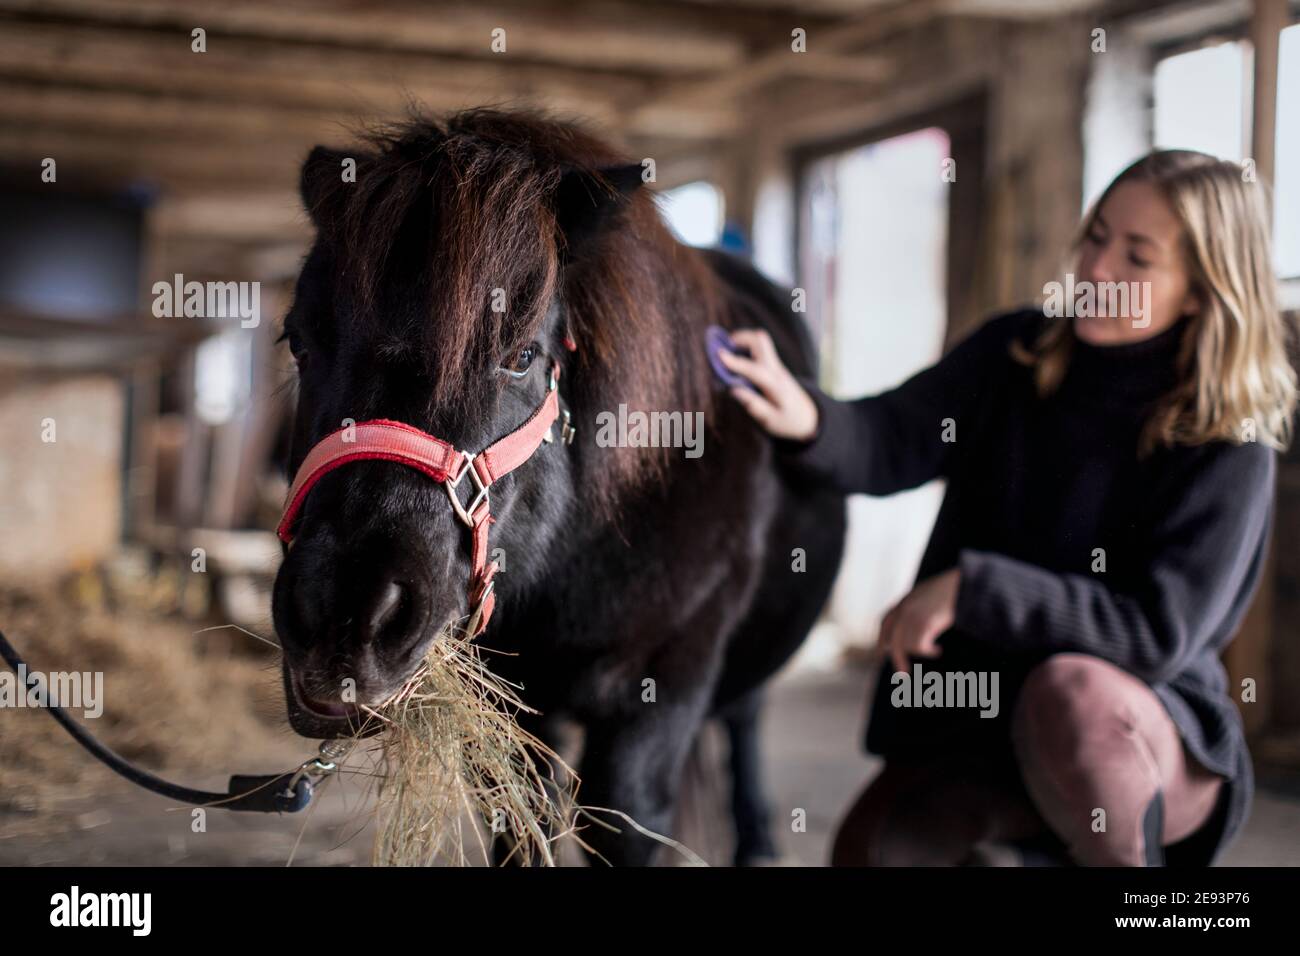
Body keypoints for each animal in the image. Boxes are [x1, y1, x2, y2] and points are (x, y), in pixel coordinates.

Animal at [270, 109, 847, 866]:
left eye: (521, 356)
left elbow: (628, 820)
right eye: (298, 341)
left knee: (744, 715)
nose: (345, 615)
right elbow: (523, 819)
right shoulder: (512, 705)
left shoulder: (662, 691)